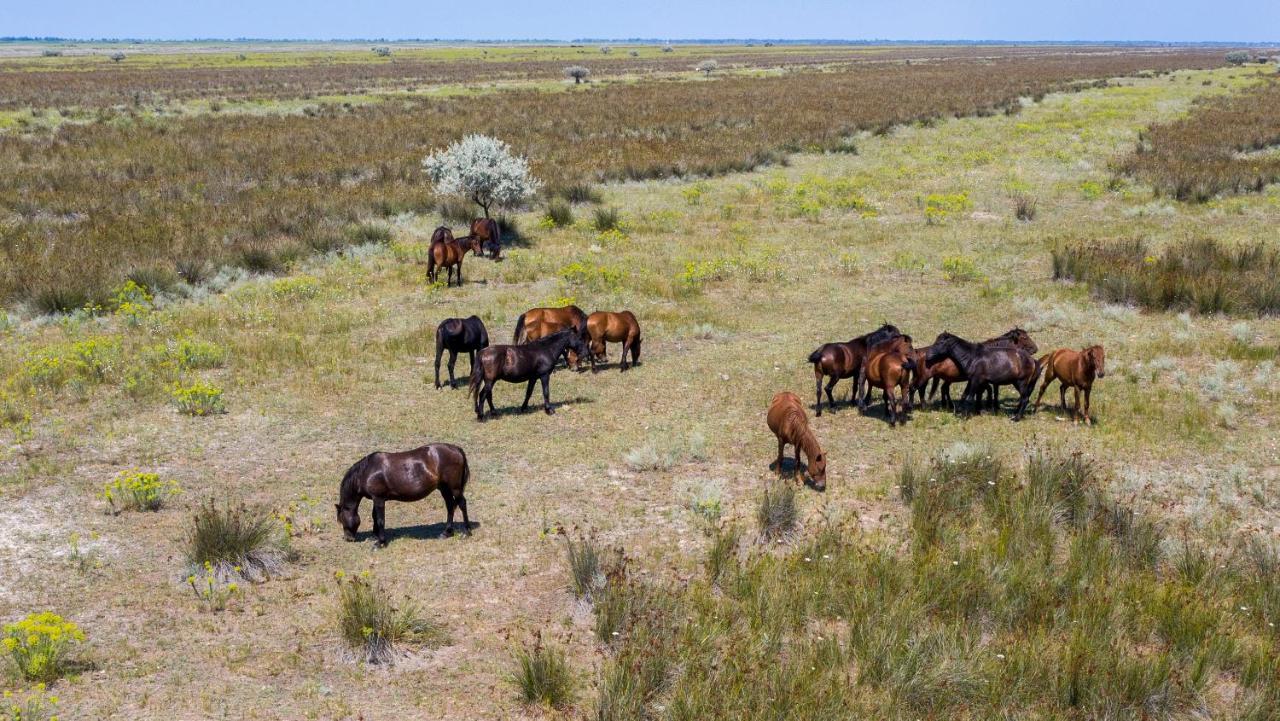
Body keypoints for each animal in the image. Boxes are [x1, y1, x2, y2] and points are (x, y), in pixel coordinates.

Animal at [335, 445, 471, 548]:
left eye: (342, 519)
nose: (348, 538)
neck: (367, 471)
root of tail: (456, 449)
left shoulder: (379, 499)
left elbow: (380, 519)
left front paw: (380, 542)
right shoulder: (376, 498)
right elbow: (375, 517)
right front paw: (376, 535)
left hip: (455, 488)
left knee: (462, 504)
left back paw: (466, 532)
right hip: (444, 488)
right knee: (450, 506)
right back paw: (447, 533)